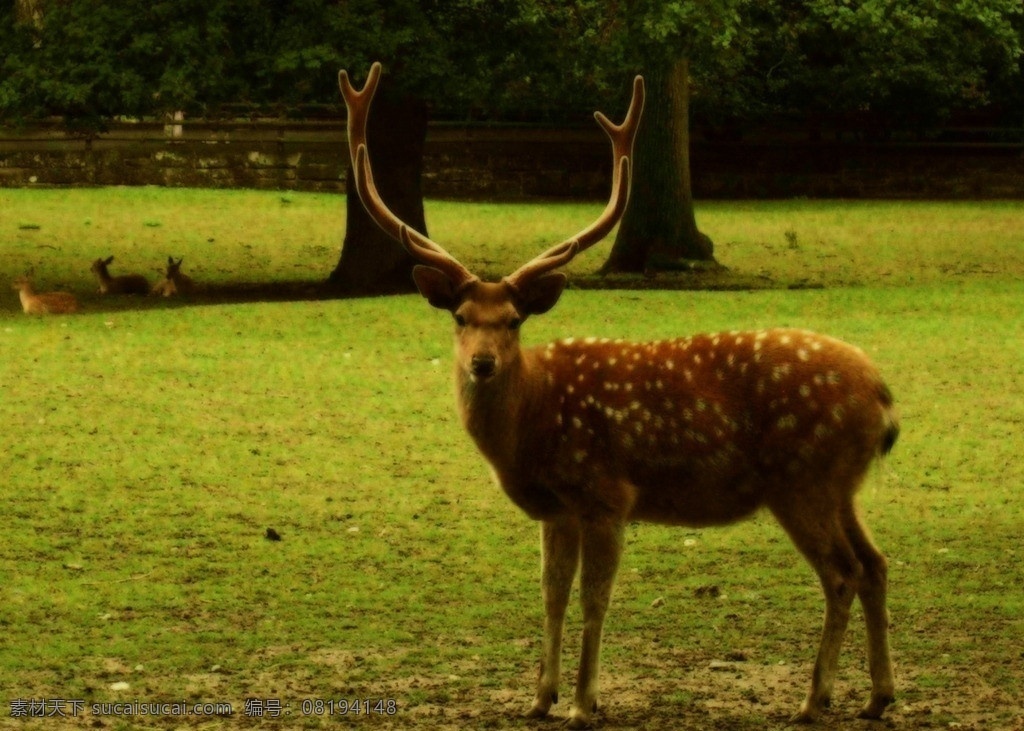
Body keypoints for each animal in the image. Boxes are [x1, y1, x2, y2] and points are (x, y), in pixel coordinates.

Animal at [340, 62, 898, 728]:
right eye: (460, 316)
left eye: (513, 320)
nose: (482, 362)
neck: (531, 428)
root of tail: (883, 395)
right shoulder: (557, 509)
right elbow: (551, 596)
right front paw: (540, 698)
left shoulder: (607, 493)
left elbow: (594, 599)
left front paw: (584, 703)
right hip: (842, 486)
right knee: (876, 563)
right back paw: (877, 696)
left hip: (802, 479)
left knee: (841, 574)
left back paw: (814, 700)